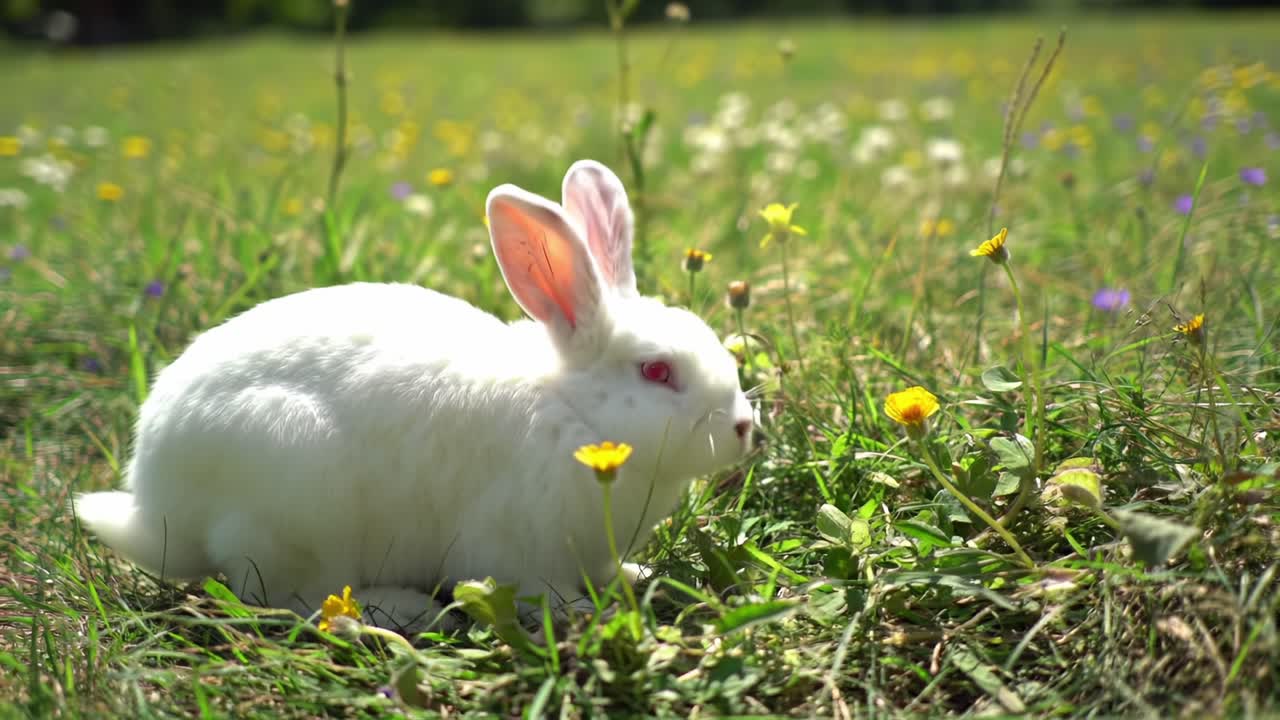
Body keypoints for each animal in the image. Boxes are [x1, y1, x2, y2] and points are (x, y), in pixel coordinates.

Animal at [74, 159, 755, 633]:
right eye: (656, 371)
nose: (745, 428)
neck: (573, 410)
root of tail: (155, 505)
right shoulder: (515, 547)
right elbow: (542, 592)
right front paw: (586, 613)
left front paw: (637, 577)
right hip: (298, 499)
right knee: (298, 600)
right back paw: (408, 611)